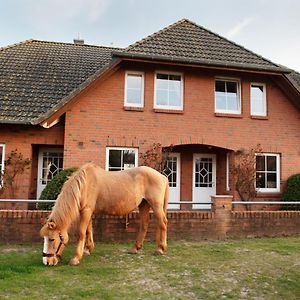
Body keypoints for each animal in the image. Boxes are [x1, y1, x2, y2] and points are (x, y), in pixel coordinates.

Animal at [39, 163, 169, 266]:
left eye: (51, 239)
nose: (47, 262)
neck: (84, 184)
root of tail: (163, 177)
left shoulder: (86, 211)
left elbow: (81, 232)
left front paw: (76, 258)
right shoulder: (87, 211)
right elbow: (88, 230)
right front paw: (88, 250)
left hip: (155, 204)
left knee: (162, 222)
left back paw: (160, 249)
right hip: (143, 204)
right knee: (144, 224)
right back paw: (135, 248)